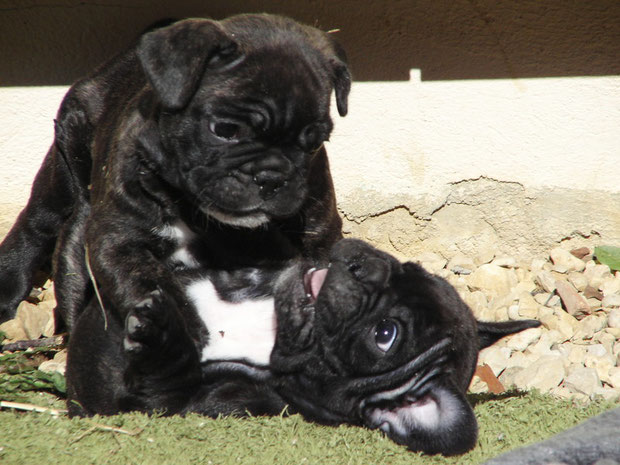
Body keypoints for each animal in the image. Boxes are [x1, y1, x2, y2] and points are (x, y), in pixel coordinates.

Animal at [0, 14, 348, 328]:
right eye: (225, 130)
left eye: (315, 143)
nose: (271, 177)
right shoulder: (119, 243)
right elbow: (151, 292)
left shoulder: (318, 238)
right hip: (66, 161)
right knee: (39, 222)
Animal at [64, 237, 536, 454]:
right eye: (410, 267)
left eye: (385, 335)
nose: (365, 268)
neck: (267, 330)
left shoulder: (188, 403)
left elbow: (164, 385)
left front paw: (160, 333)